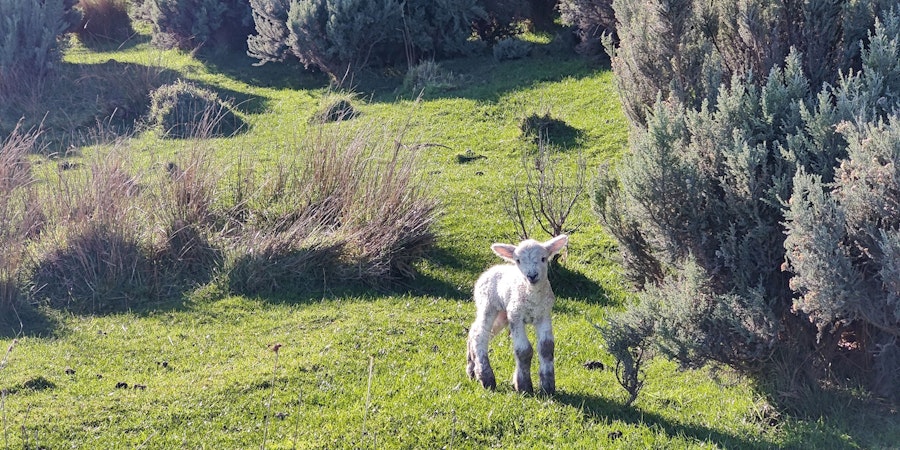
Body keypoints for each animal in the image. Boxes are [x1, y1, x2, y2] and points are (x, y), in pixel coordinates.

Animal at [466, 234, 568, 394]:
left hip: (502, 314)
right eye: (518, 260)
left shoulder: (544, 314)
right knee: (479, 334)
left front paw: (548, 387)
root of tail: (490, 270)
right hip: (488, 305)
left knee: (476, 331)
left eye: (543, 258)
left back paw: (472, 369)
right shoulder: (516, 315)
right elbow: (524, 350)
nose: (532, 275)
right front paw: (524, 387)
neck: (531, 296)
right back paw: (487, 378)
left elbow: (546, 348)